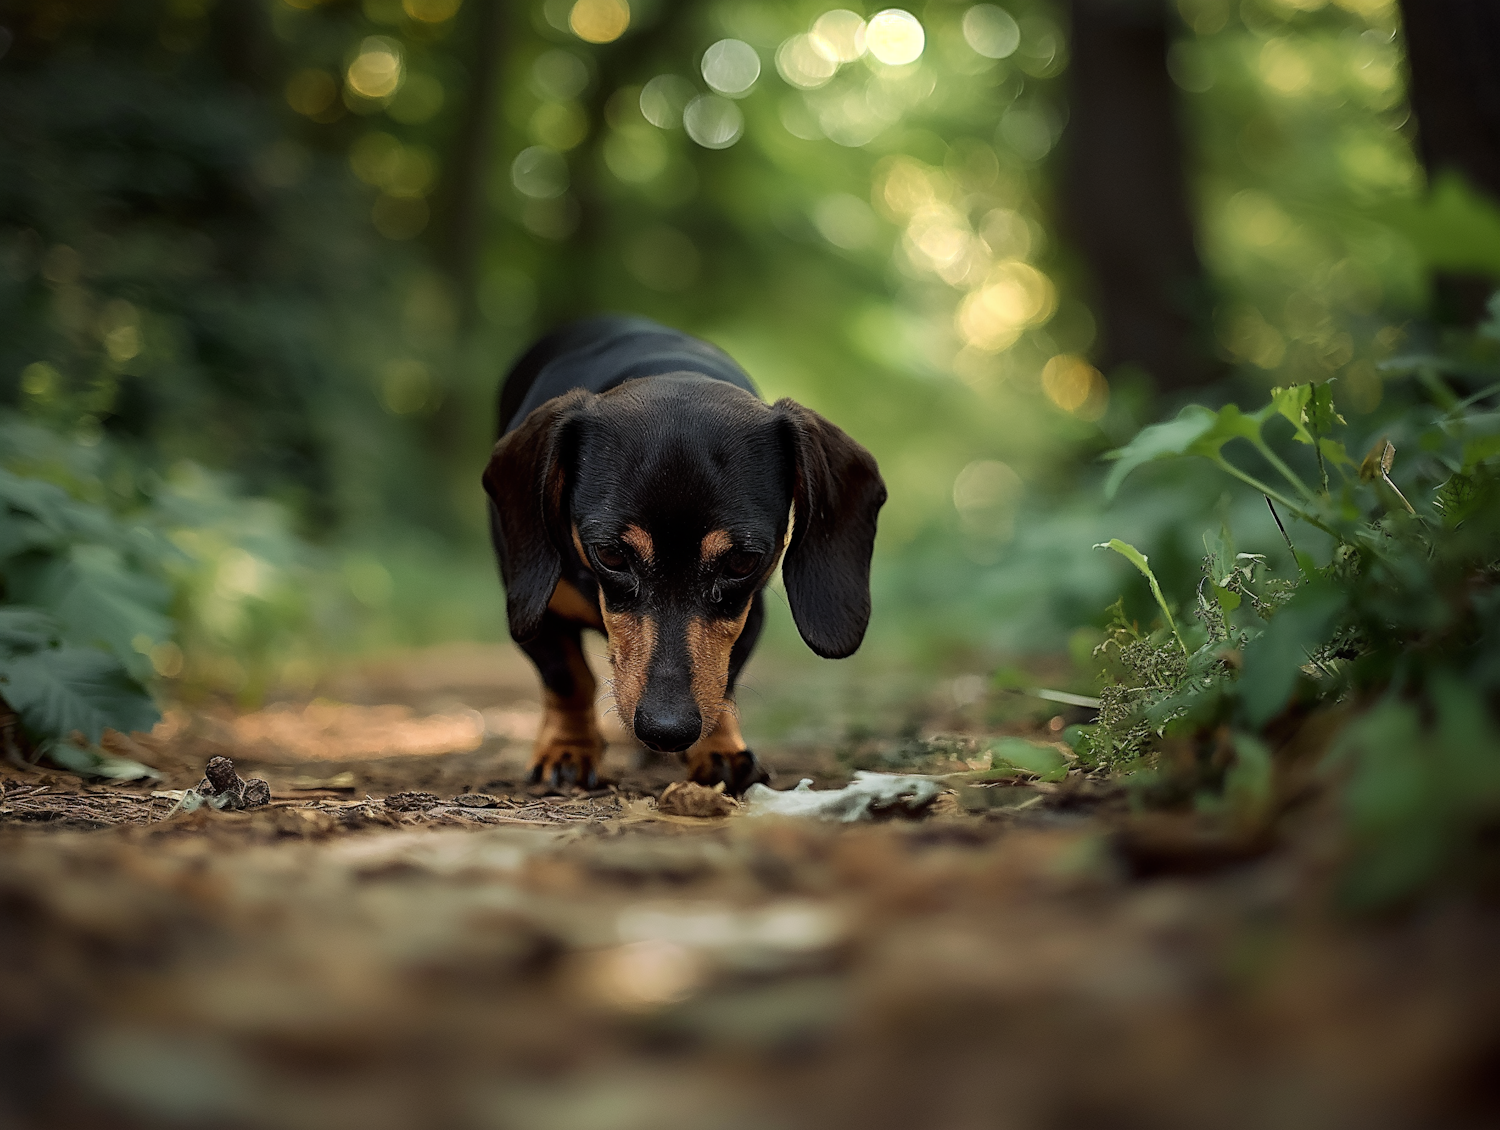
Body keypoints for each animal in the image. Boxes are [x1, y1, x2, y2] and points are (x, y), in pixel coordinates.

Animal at [480, 313, 882, 792]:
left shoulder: (746, 615)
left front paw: (718, 749)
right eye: (610, 555)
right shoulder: (537, 605)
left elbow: (722, 681)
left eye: (741, 561)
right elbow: (568, 678)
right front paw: (568, 749)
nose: (667, 730)